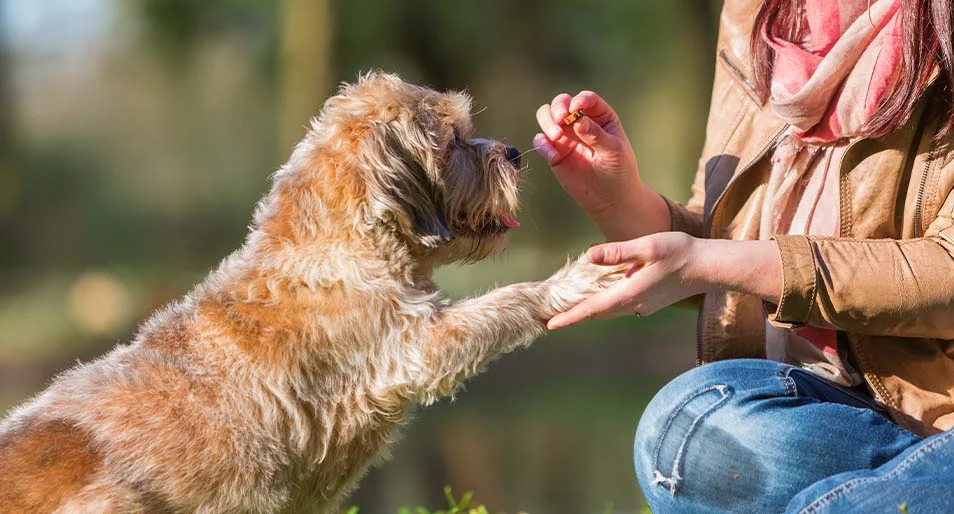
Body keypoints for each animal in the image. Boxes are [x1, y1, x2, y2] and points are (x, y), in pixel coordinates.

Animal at [0, 73, 620, 512]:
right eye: (455, 141)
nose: (514, 153)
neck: (339, 243)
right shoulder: (415, 345)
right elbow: (507, 299)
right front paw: (571, 282)